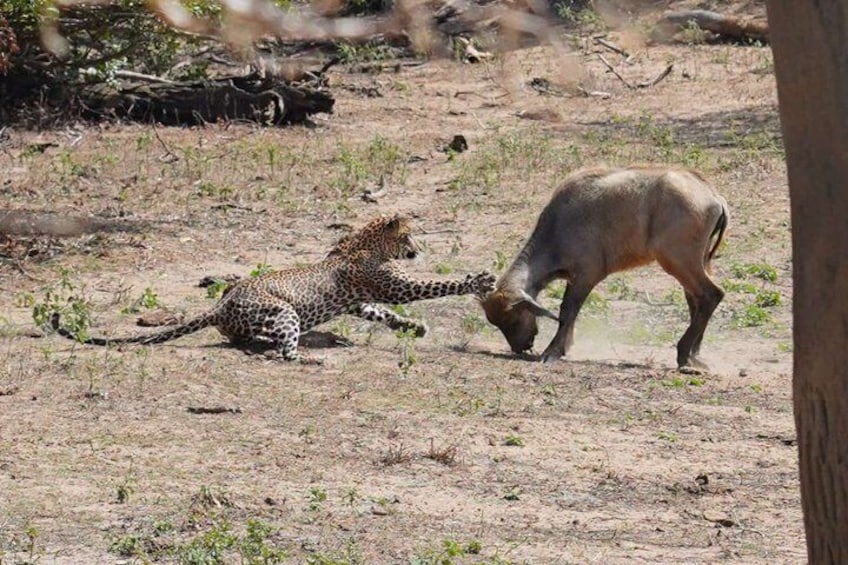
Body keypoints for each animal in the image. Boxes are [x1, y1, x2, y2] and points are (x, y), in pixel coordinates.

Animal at [51, 215, 496, 362]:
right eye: (409, 236)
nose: (417, 249)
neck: (365, 240)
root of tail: (222, 304)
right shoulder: (394, 287)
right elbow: (436, 285)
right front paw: (479, 280)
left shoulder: (360, 302)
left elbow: (382, 314)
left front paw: (413, 329)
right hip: (283, 311)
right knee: (284, 352)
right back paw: (308, 358)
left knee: (250, 340)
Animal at [480, 165, 729, 371]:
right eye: (495, 321)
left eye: (512, 318)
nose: (520, 347)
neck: (559, 224)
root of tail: (712, 195)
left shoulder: (585, 277)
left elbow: (567, 311)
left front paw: (553, 351)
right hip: (697, 264)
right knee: (695, 300)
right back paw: (695, 355)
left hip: (679, 262)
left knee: (711, 294)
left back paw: (683, 353)